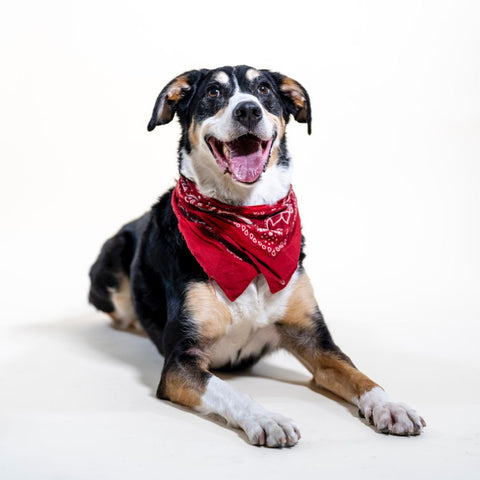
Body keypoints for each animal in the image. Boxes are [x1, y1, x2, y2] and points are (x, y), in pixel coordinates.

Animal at [88, 65, 426, 448]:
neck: (247, 219)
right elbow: (230, 391)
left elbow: (359, 375)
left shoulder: (315, 341)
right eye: (213, 92)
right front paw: (266, 419)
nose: (248, 110)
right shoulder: (181, 360)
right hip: (112, 266)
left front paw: (391, 407)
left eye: (263, 89)